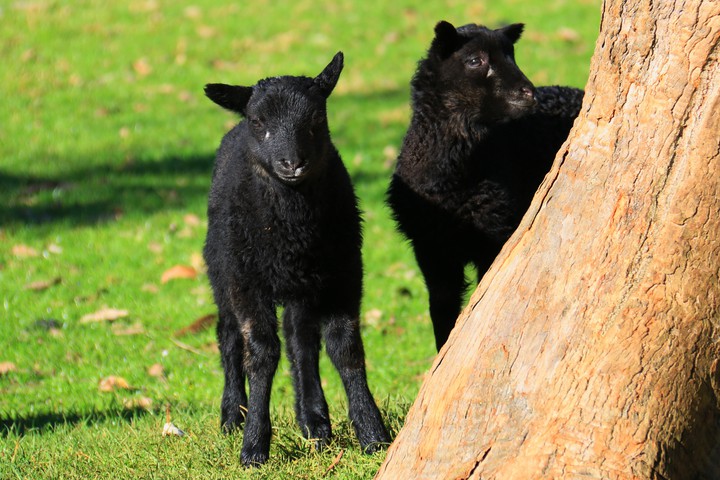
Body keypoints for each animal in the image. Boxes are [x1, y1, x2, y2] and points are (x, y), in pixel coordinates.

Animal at [203, 52, 390, 466]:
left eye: (317, 117)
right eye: (259, 122)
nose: (292, 164)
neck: (292, 231)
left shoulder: (344, 274)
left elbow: (345, 346)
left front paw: (374, 434)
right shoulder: (248, 282)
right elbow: (261, 352)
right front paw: (254, 446)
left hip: (306, 283)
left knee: (300, 337)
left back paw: (314, 421)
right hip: (222, 268)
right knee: (229, 335)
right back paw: (232, 416)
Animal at [386, 21, 585, 351]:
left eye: (511, 55)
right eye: (474, 60)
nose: (528, 93)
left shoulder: (495, 236)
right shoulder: (431, 248)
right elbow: (441, 309)